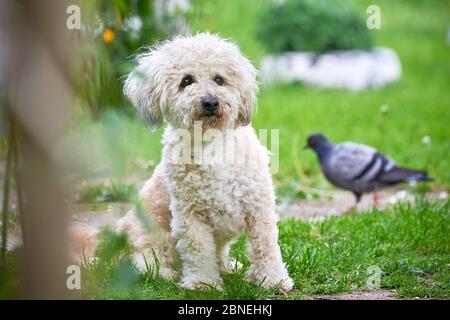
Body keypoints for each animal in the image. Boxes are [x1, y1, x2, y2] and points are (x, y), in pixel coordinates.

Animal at [72, 33, 294, 292]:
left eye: (219, 79)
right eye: (186, 81)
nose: (210, 102)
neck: (210, 144)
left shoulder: (259, 207)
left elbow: (266, 246)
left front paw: (273, 279)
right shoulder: (190, 215)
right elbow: (199, 250)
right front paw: (202, 283)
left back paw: (230, 268)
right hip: (149, 236)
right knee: (142, 261)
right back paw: (164, 273)